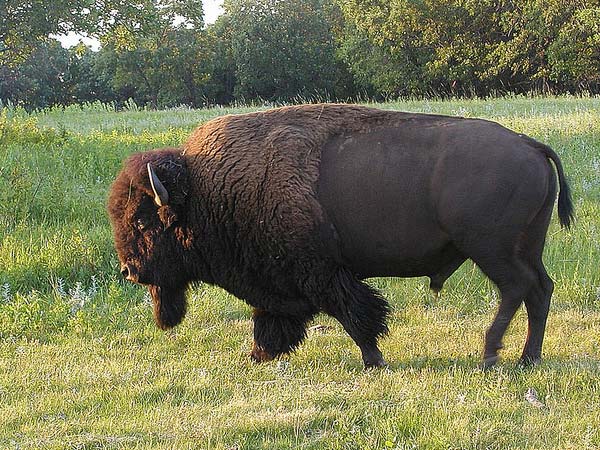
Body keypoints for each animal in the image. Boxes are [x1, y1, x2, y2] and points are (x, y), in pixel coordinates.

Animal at [106, 104, 572, 370]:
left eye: (144, 222)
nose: (129, 271)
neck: (209, 190)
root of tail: (531, 144)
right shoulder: (278, 284)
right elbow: (272, 317)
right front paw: (258, 355)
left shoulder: (322, 273)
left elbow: (354, 313)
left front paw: (373, 361)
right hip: (527, 247)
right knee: (540, 290)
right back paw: (528, 358)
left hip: (491, 249)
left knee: (516, 289)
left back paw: (491, 354)